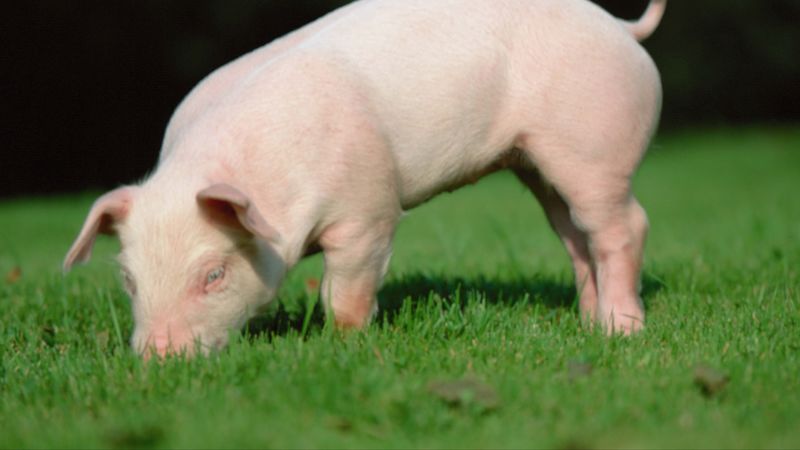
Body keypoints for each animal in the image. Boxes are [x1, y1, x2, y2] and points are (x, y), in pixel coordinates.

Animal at [64, 0, 666, 357]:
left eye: (214, 273)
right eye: (129, 279)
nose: (158, 358)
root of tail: (620, 27)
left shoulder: (367, 208)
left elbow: (346, 290)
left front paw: (344, 345)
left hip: (595, 144)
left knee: (623, 226)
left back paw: (622, 332)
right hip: (538, 164)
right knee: (574, 236)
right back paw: (586, 325)